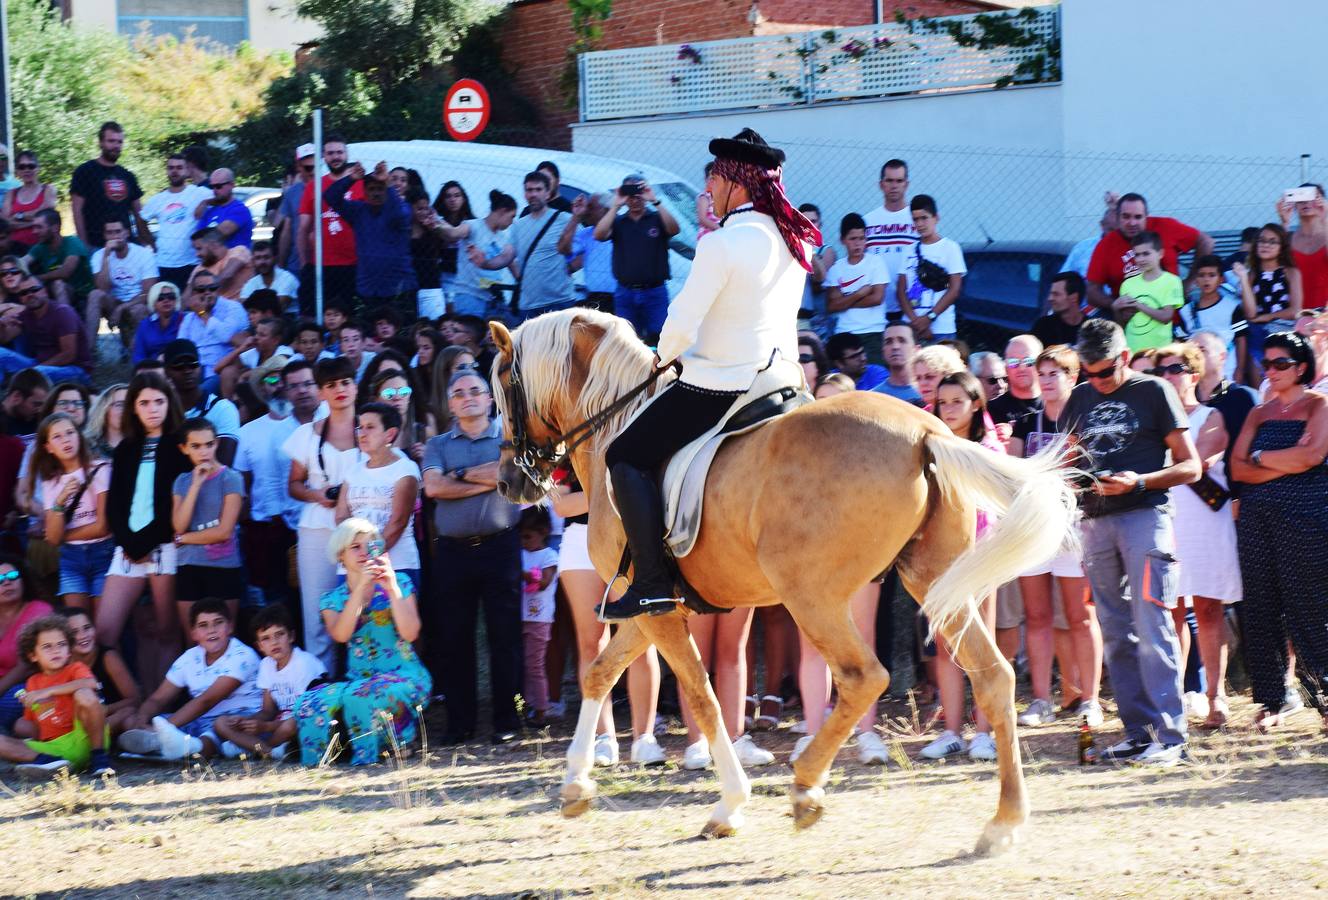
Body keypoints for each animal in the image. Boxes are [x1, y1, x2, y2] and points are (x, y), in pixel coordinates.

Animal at [488, 311, 1078, 860]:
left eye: (499, 386)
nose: (510, 482)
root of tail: (926, 434)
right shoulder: (653, 608)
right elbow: (599, 673)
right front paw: (575, 786)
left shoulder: (656, 608)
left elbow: (703, 696)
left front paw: (729, 805)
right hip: (932, 580)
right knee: (993, 676)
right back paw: (1003, 823)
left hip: (812, 598)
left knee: (863, 677)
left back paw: (806, 788)